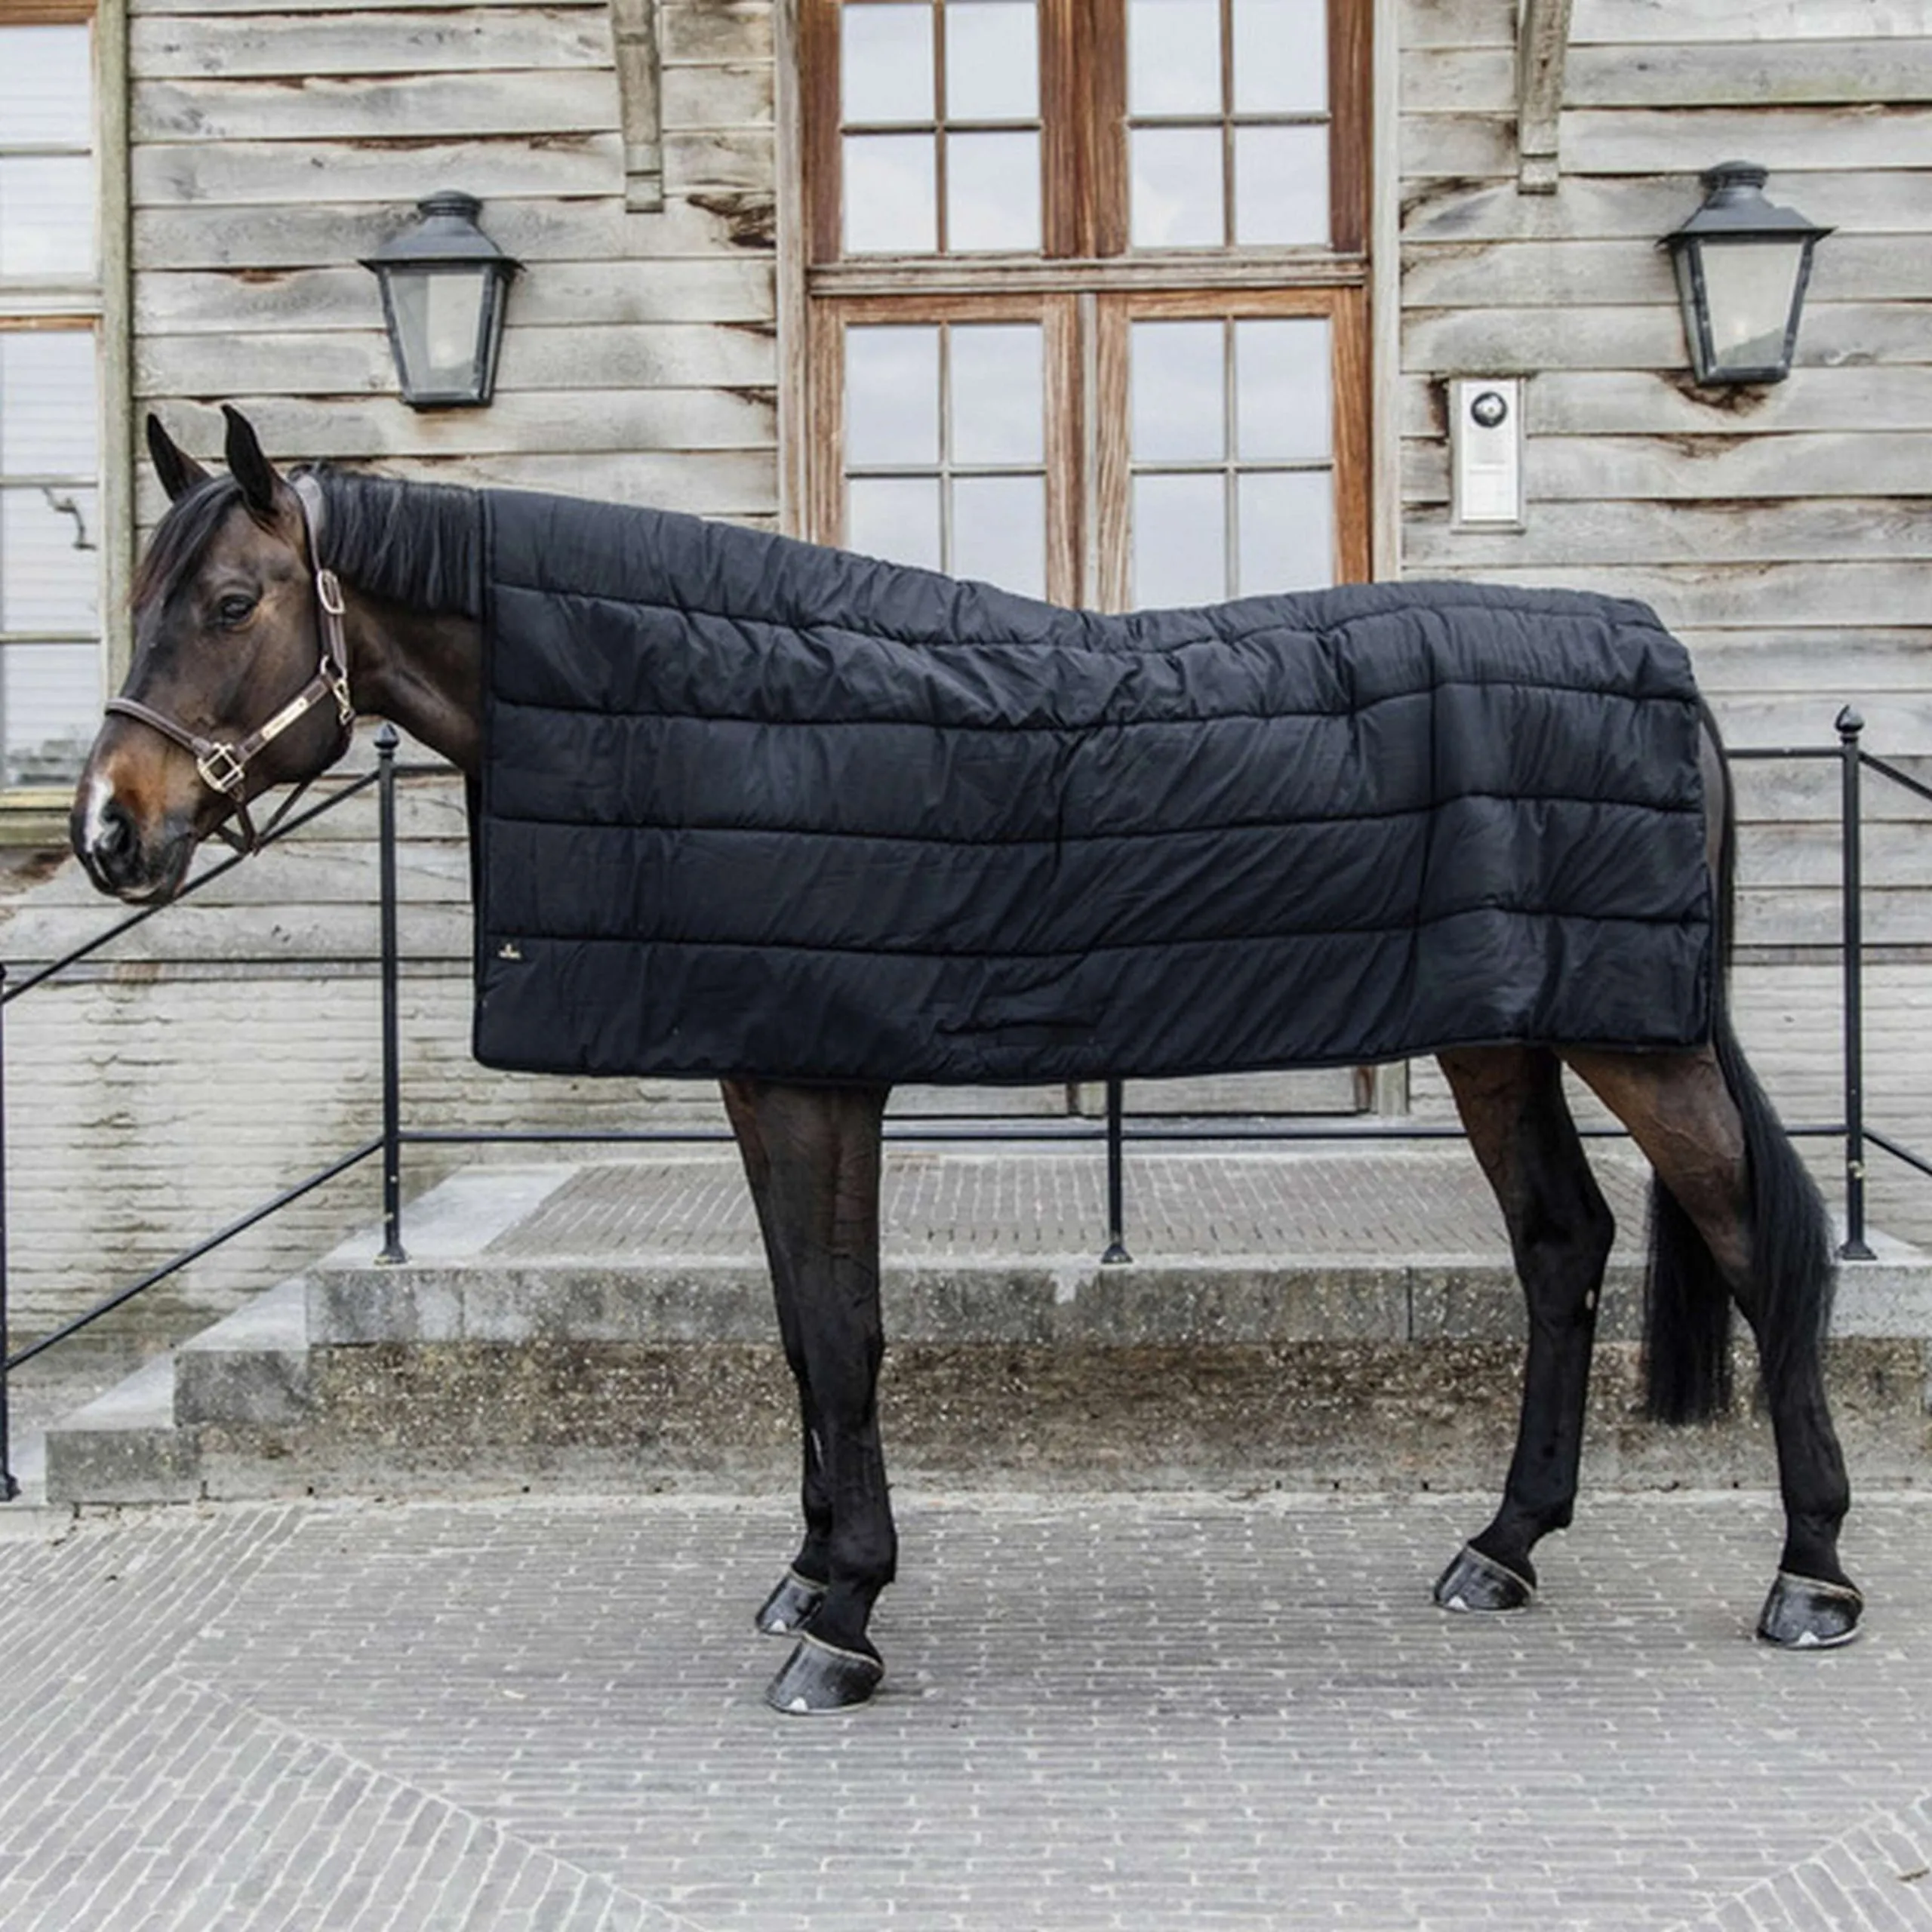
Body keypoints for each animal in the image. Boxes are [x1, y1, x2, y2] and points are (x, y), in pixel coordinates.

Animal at [71, 405, 1862, 1713]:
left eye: (229, 604)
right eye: (143, 600)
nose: (107, 831)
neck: (709, 699)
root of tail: (1661, 658)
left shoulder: (816, 1077)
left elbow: (845, 1333)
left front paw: (844, 1620)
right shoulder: (768, 1065)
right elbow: (804, 1334)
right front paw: (809, 1573)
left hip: (1631, 1034)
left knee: (1751, 1240)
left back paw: (1812, 1577)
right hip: (1504, 1031)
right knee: (1563, 1241)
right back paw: (1502, 1547)